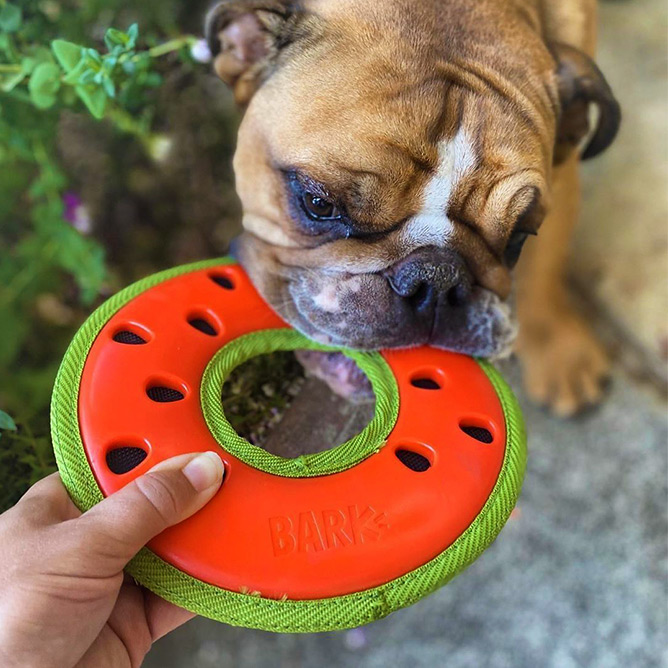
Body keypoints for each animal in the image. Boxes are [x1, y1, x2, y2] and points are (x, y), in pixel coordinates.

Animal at [205, 0, 620, 418]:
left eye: (520, 235)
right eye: (318, 203)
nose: (437, 277)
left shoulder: (563, 180)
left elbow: (544, 270)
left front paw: (558, 353)